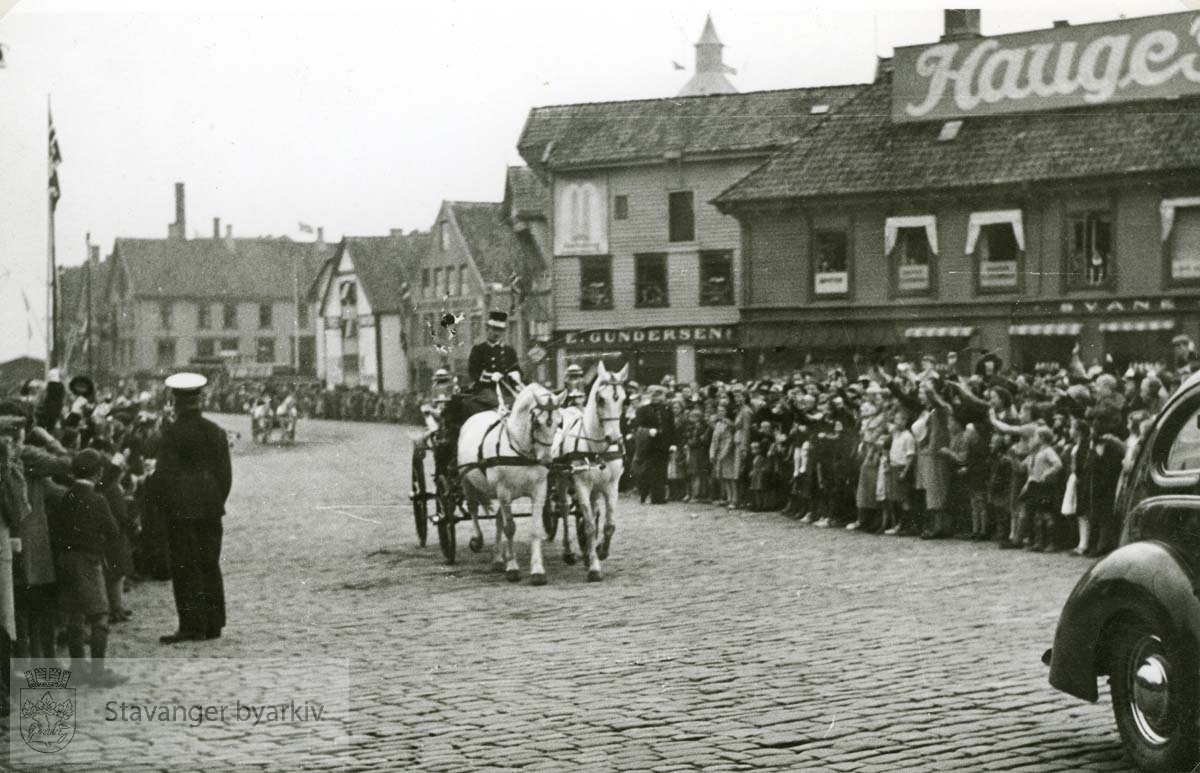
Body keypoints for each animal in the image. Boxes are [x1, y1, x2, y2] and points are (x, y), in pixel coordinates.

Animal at [456, 384, 564, 583]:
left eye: (559, 422)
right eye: (537, 423)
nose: (546, 460)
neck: (520, 451)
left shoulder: (539, 490)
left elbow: (534, 529)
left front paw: (537, 570)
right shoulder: (504, 491)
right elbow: (510, 528)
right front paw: (512, 567)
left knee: (498, 518)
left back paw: (498, 558)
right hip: (467, 481)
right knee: (473, 507)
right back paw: (477, 539)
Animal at [552, 362, 628, 580]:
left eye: (624, 399)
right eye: (601, 399)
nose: (614, 438)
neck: (597, 450)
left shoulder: (612, 487)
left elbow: (608, 524)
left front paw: (601, 551)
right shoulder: (582, 486)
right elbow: (590, 526)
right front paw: (594, 568)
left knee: (593, 512)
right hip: (561, 480)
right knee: (563, 510)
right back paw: (569, 552)